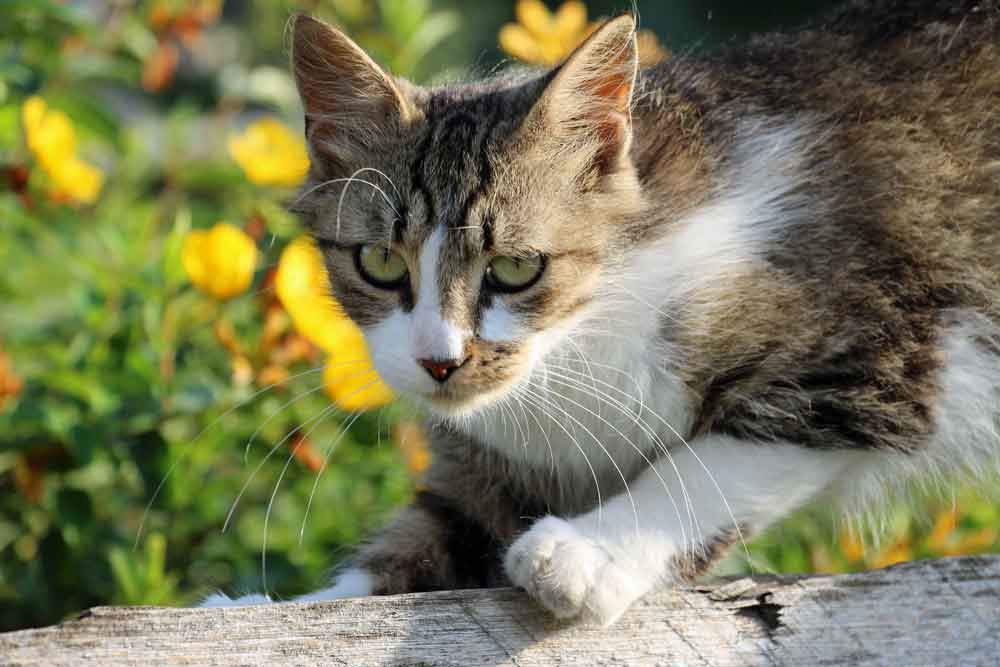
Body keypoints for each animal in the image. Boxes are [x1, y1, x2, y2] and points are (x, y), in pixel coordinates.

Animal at [203, 0, 1000, 628]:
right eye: (380, 263)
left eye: (516, 268)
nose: (440, 360)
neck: (576, 342)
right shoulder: (493, 465)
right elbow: (435, 534)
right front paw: (277, 609)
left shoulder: (879, 350)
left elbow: (718, 459)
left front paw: (588, 552)